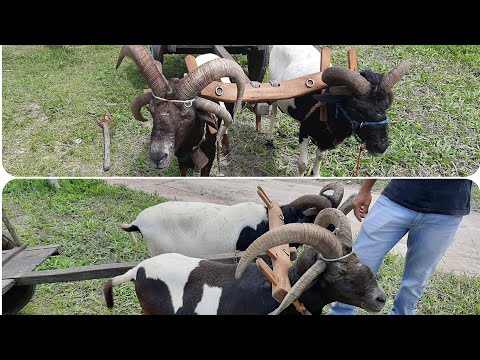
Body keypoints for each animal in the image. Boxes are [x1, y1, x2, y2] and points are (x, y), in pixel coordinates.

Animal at [268, 44, 410, 176]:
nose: (381, 147)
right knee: (273, 113)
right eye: (354, 108)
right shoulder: (304, 131)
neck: (325, 107)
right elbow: (303, 164)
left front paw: (316, 175)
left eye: (386, 106)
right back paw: (270, 139)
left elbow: (320, 157)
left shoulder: (326, 139)